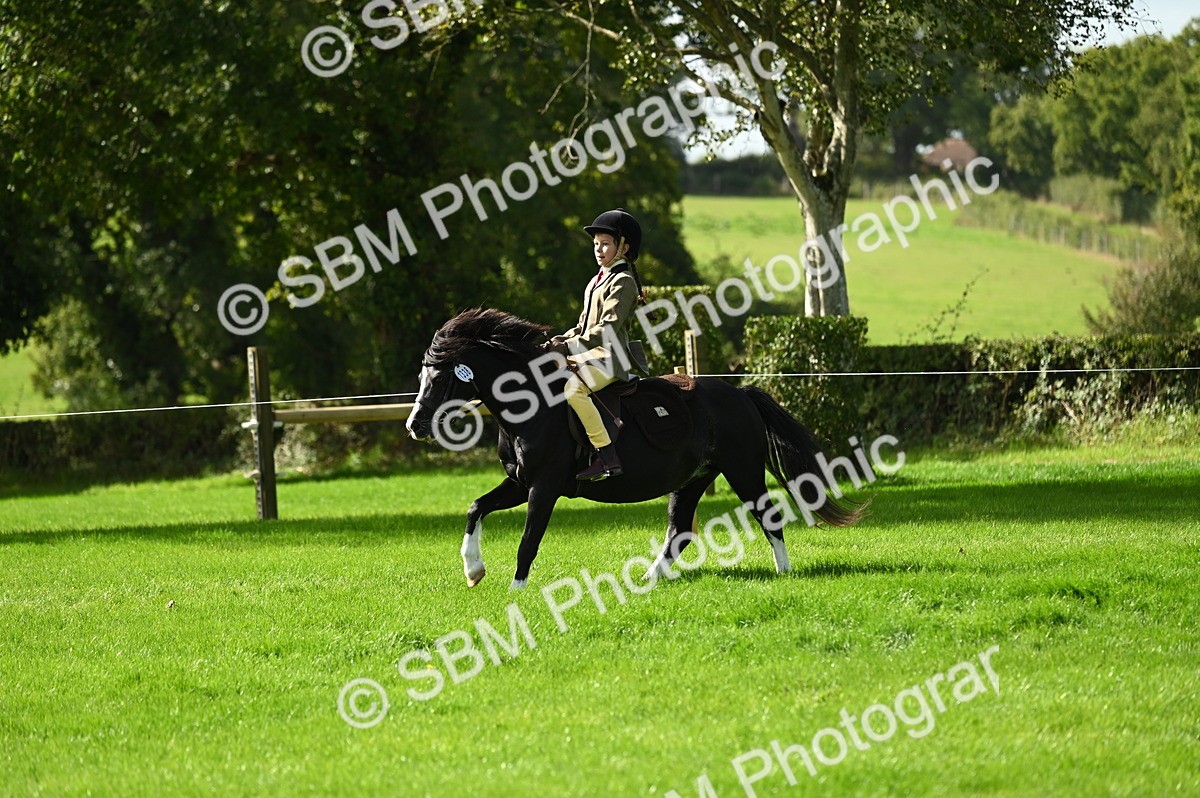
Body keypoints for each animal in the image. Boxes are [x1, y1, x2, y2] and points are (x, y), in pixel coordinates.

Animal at [405, 308, 864, 589]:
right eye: (423, 375)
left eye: (440, 377)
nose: (415, 426)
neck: (530, 407)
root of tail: (741, 393)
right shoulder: (519, 483)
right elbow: (475, 508)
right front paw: (474, 570)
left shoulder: (544, 487)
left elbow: (528, 540)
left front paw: (516, 592)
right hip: (693, 479)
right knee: (679, 532)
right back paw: (647, 580)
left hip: (743, 470)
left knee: (767, 517)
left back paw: (784, 572)